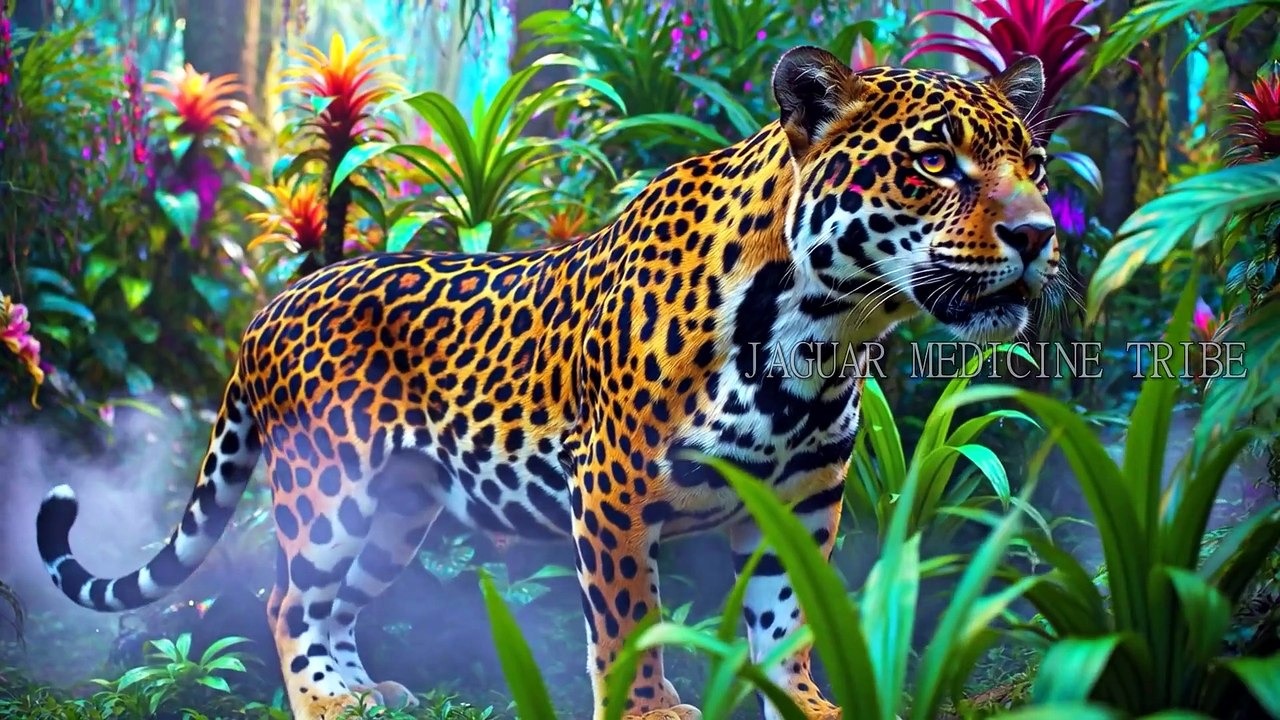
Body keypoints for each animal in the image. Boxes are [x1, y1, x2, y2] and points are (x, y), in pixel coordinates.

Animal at [36, 46, 1058, 720]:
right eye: (935, 164)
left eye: (1034, 164)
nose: (1041, 233)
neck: (817, 333)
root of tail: (269, 307)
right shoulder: (612, 487)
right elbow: (631, 620)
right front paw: (651, 712)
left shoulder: (804, 499)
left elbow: (791, 621)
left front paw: (807, 705)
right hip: (331, 487)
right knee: (289, 599)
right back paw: (327, 701)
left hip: (400, 507)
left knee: (340, 600)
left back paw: (372, 691)